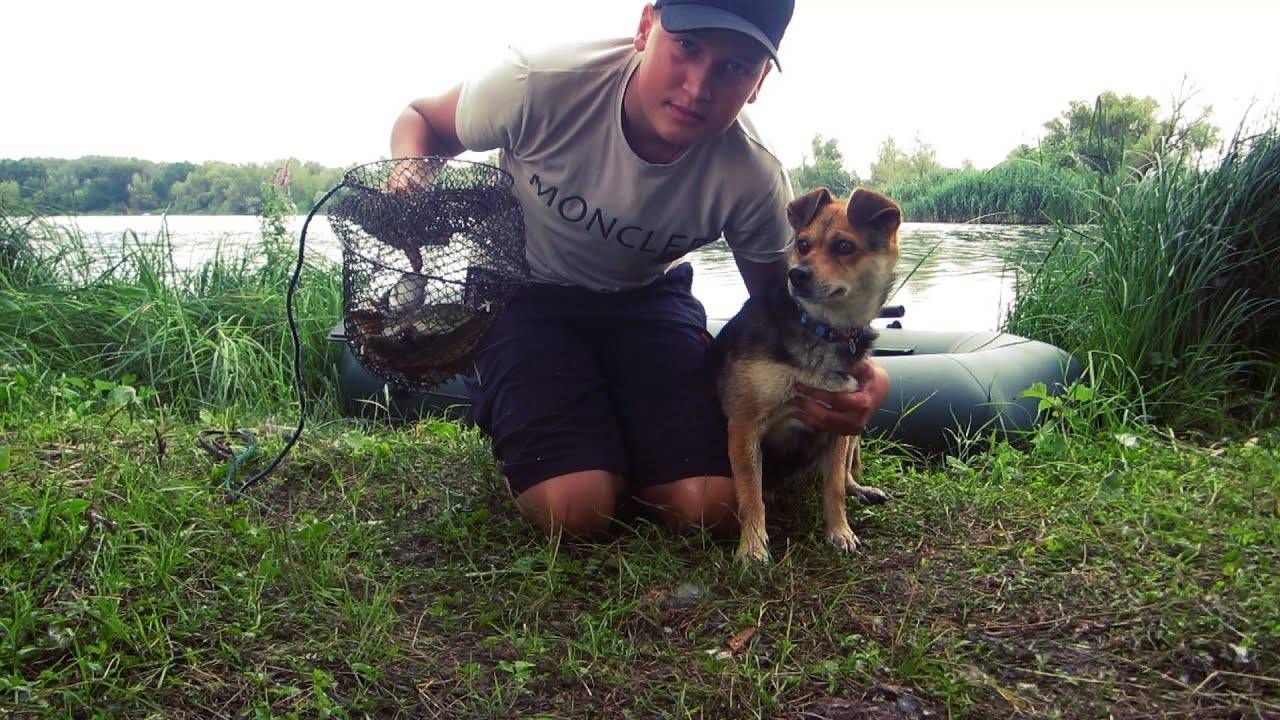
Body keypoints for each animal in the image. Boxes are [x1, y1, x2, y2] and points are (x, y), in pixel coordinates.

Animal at [712, 186, 902, 563]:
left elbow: (834, 488)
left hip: (856, 429)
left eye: (844, 246)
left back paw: (861, 489)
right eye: (802, 244)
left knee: (845, 474)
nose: (797, 275)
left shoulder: (839, 422)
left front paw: (840, 532)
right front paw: (752, 547)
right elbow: (750, 493)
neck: (821, 329)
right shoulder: (744, 424)